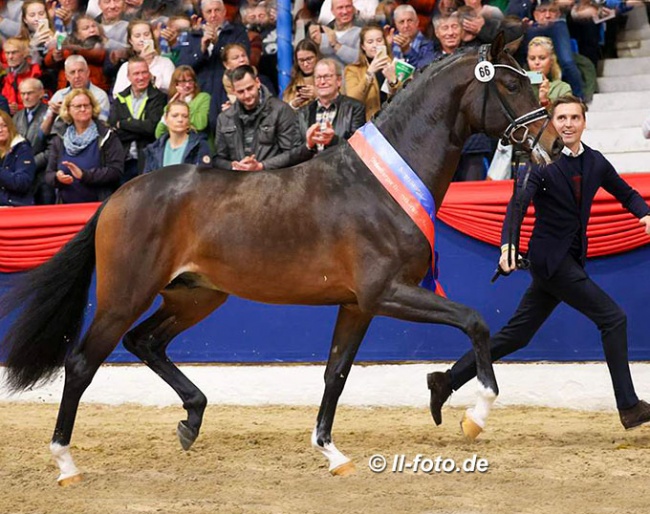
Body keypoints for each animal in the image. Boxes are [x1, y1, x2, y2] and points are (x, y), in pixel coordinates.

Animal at [0, 34, 560, 482]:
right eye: (511, 86)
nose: (553, 141)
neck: (379, 186)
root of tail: (119, 195)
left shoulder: (358, 305)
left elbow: (337, 373)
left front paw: (332, 453)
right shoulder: (387, 293)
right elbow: (474, 321)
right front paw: (475, 415)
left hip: (197, 297)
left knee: (146, 342)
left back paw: (192, 418)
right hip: (126, 295)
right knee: (82, 363)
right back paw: (66, 463)